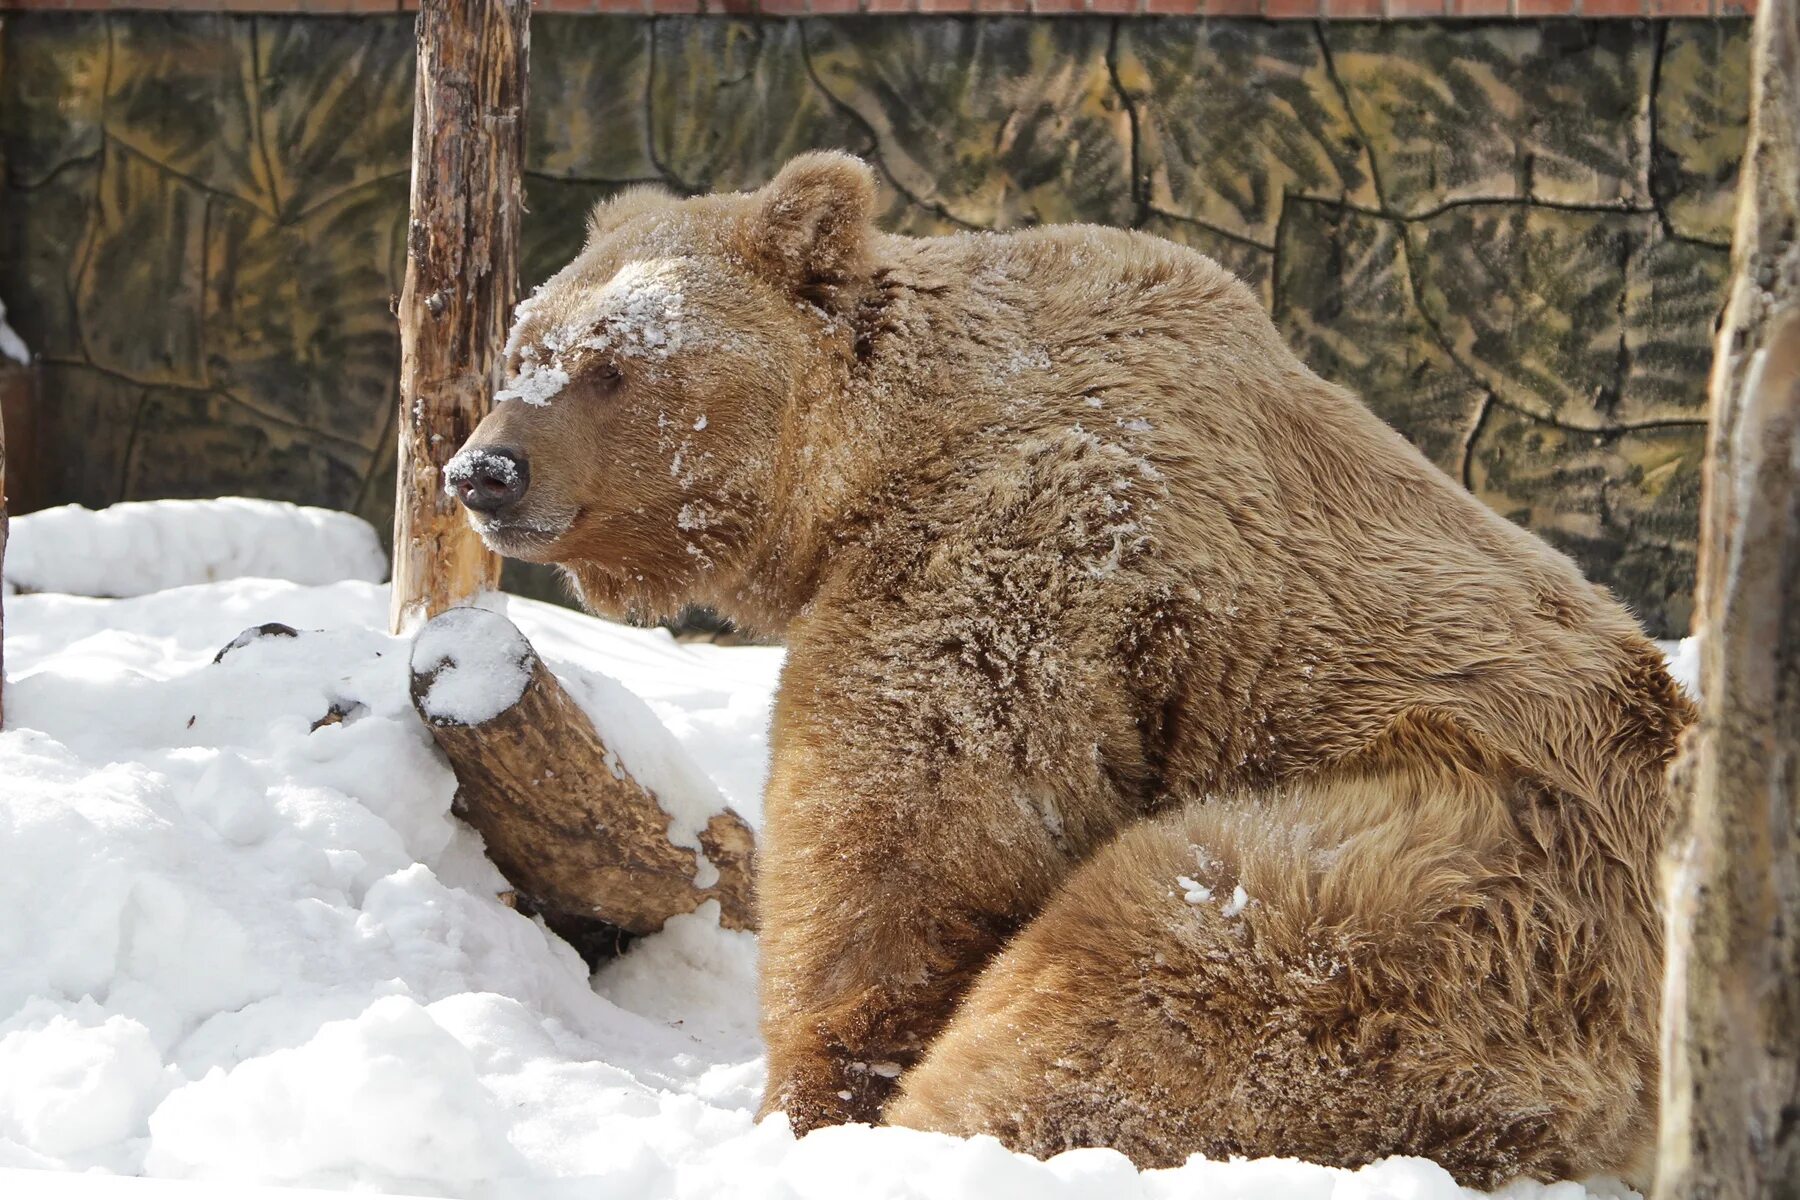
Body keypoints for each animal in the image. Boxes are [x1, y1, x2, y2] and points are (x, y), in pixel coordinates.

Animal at [442, 152, 1692, 1194]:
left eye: (611, 367)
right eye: (523, 349)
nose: (483, 471)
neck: (860, 475)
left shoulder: (1017, 556)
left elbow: (906, 844)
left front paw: (817, 1098)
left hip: (1454, 884)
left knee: (1152, 952)